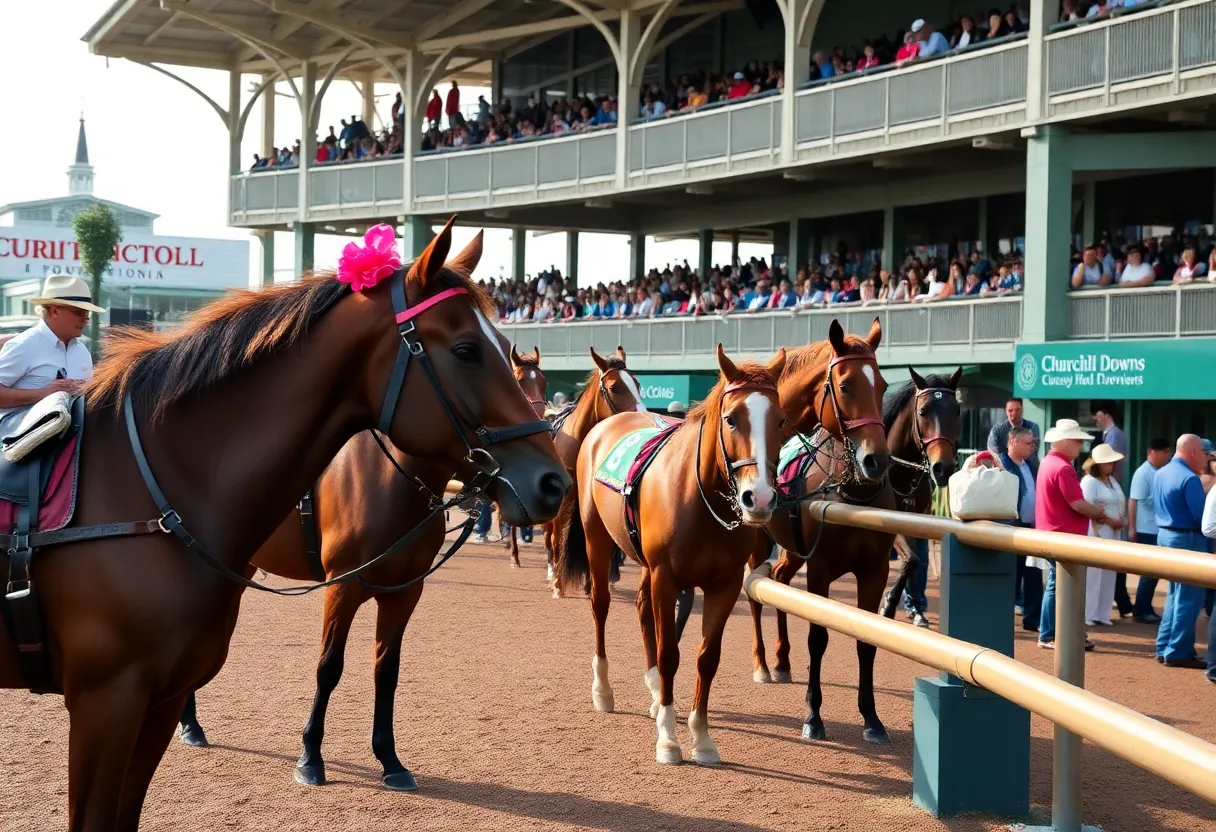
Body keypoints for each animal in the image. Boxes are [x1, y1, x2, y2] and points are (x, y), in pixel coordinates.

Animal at [0, 217, 569, 830]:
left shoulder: (403, 591)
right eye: (466, 350)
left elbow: (386, 671)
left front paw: (389, 761)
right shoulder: (339, 588)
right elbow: (329, 667)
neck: (139, 486)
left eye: (511, 353)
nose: (553, 481)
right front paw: (310, 756)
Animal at [556, 346, 787, 765]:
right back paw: (604, 690)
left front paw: (702, 737)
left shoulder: (725, 584)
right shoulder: (666, 577)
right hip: (598, 539)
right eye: (731, 419)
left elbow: (706, 658)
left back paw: (651, 689)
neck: (703, 500)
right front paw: (668, 739)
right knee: (601, 604)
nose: (759, 498)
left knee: (642, 607)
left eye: (781, 420)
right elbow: (669, 655)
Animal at [746, 367, 962, 746]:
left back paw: (783, 659)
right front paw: (813, 718)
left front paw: (872, 719)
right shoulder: (821, 567)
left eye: (957, 412)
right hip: (762, 540)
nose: (943, 468)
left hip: (794, 548)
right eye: (924, 412)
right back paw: (763, 664)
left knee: (780, 579)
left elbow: (872, 631)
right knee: (757, 593)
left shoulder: (885, 552)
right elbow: (818, 638)